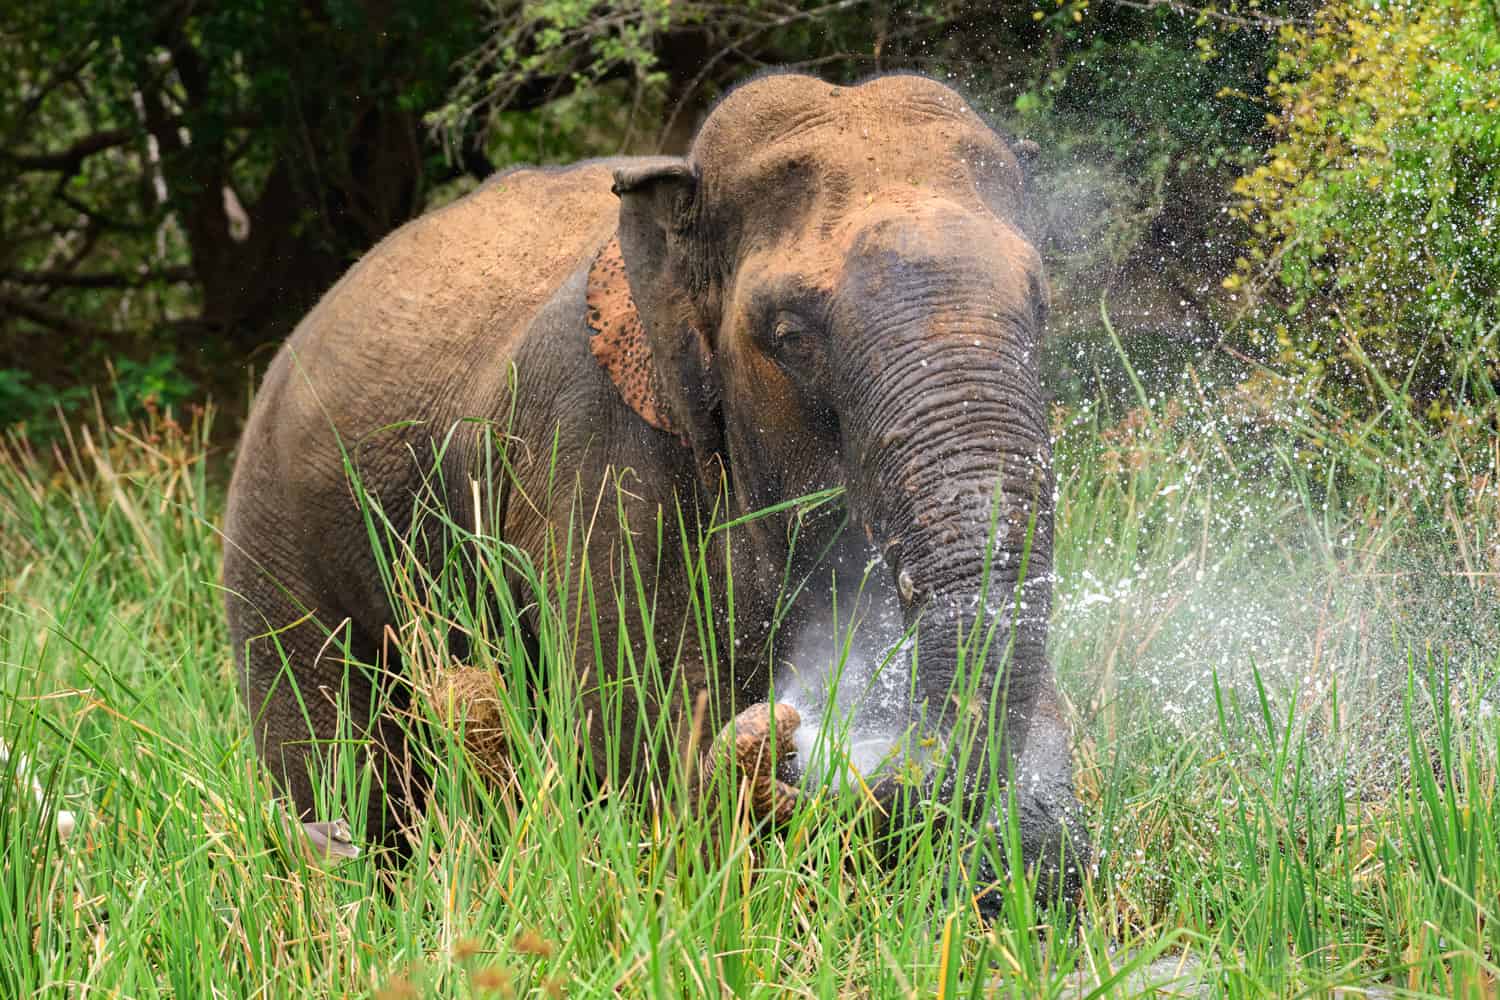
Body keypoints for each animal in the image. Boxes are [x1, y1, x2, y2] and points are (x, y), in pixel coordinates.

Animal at [222, 74, 1092, 911]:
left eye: (1042, 304)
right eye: (791, 336)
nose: (791, 731)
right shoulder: (593, 449)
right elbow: (630, 740)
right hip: (276, 542)